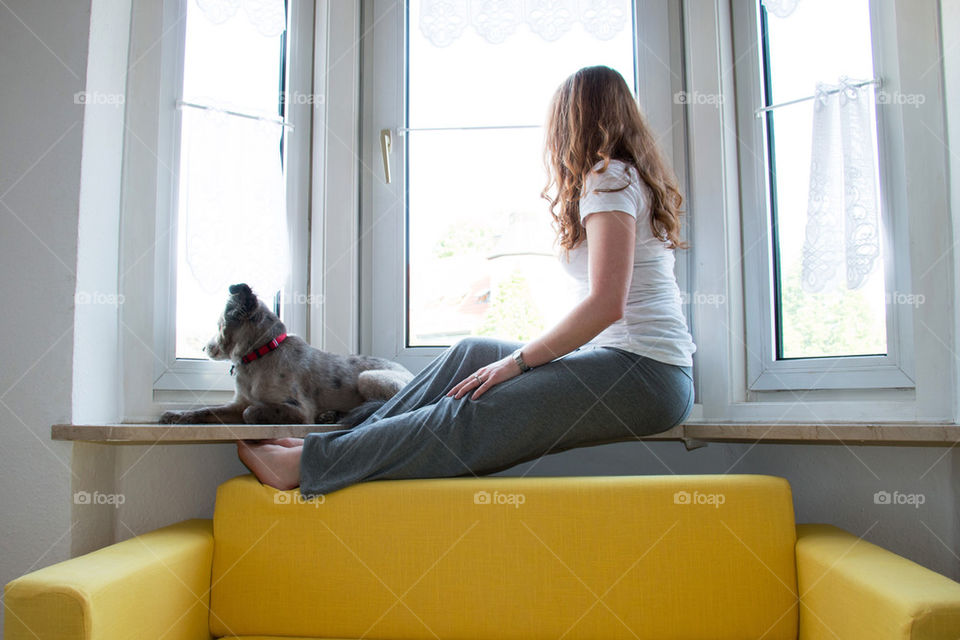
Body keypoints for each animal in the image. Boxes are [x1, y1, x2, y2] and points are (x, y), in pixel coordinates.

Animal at [158, 284, 412, 424]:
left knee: (390, 406)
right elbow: (207, 410)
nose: (204, 348)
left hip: (367, 377)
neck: (259, 355)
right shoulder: (237, 403)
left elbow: (251, 412)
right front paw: (177, 415)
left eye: (219, 324)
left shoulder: (299, 410)